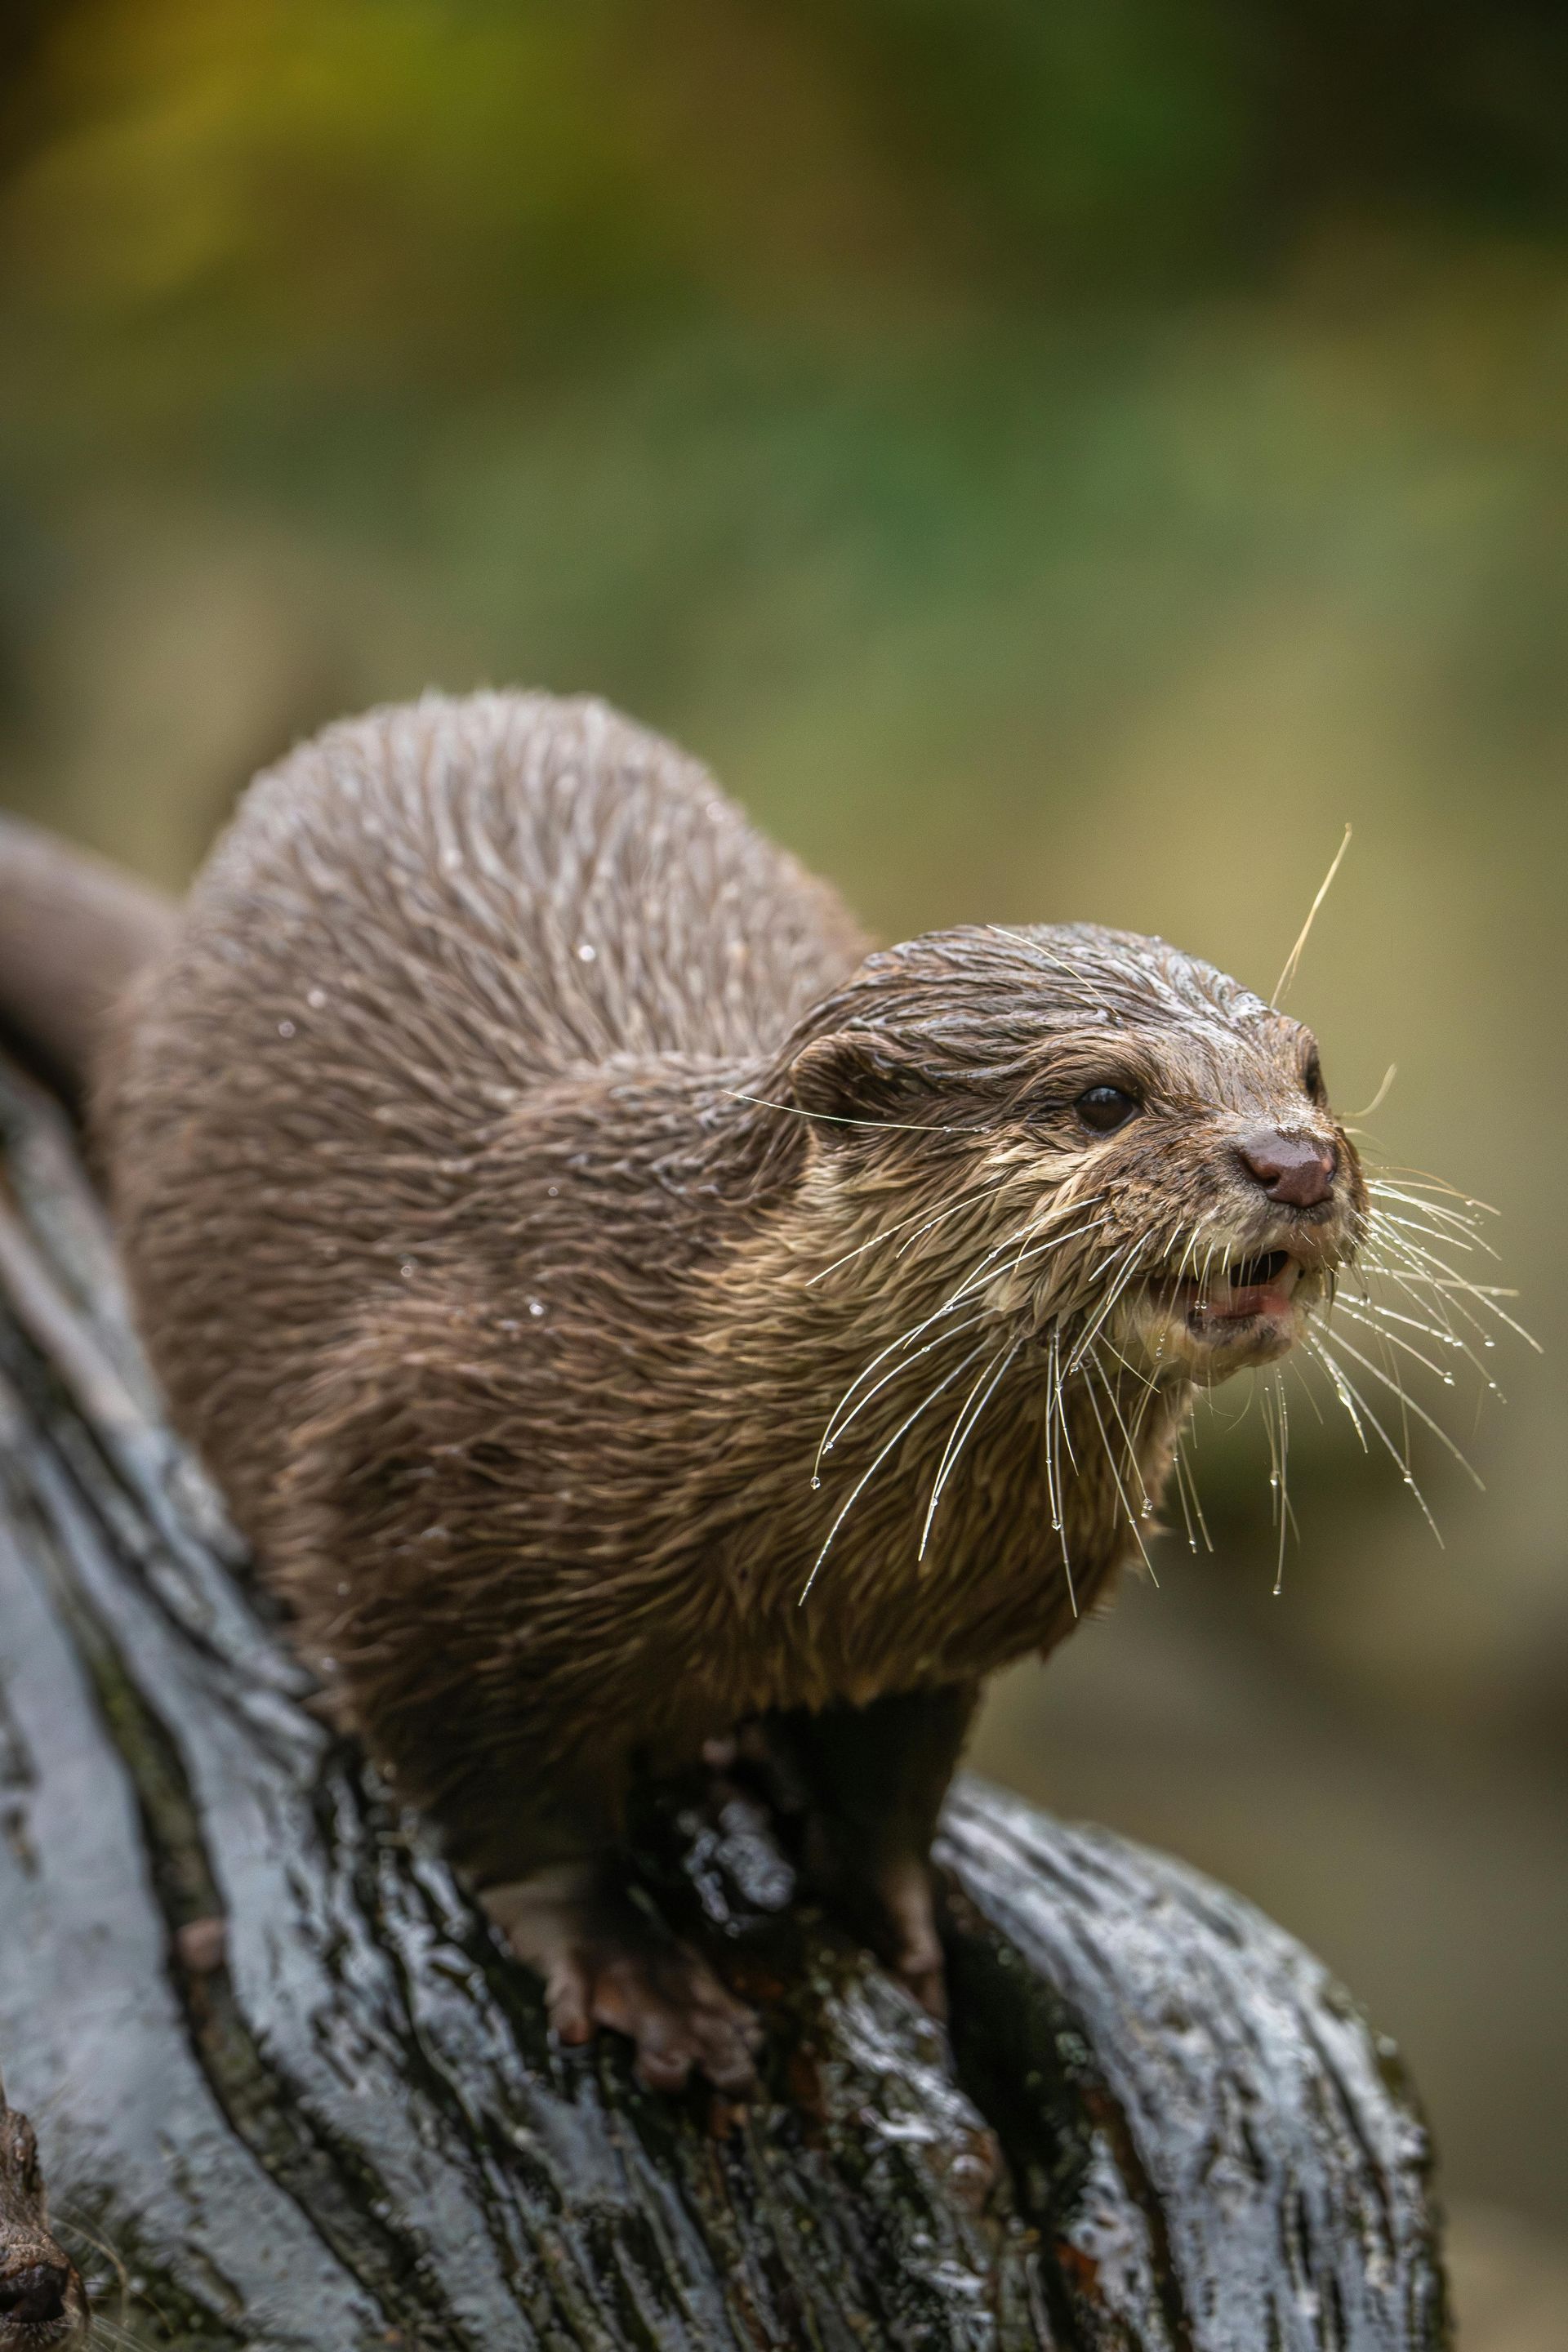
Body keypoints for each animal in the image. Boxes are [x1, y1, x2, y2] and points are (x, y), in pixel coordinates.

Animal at [0, 693, 1365, 2091]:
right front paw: (633, 1974)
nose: (1296, 1160)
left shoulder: (953, 1618)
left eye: (1310, 1070)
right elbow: (507, 1804)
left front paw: (903, 1936)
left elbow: (893, 1791)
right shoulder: (413, 1511)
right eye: (1102, 1097)